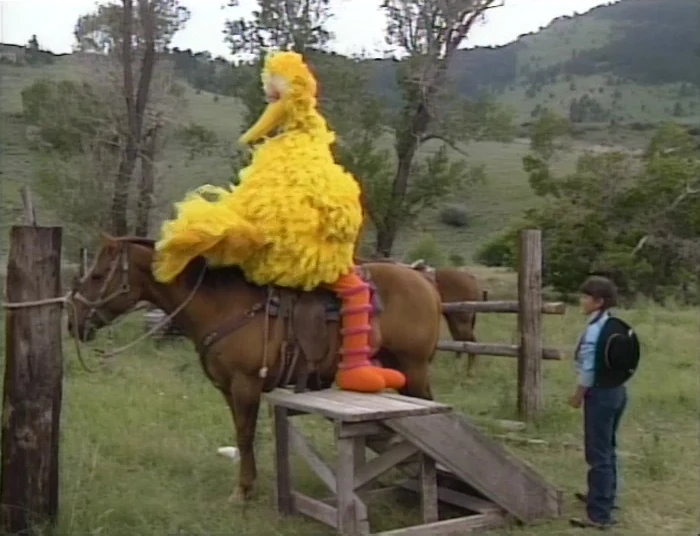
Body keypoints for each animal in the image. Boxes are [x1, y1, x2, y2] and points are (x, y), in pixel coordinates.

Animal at [68, 234, 443, 502]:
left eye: (98, 275)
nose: (74, 323)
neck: (224, 306)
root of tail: (423, 281)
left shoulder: (245, 383)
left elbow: (245, 434)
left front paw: (243, 491)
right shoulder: (227, 388)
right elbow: (240, 431)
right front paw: (247, 485)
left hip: (414, 367)